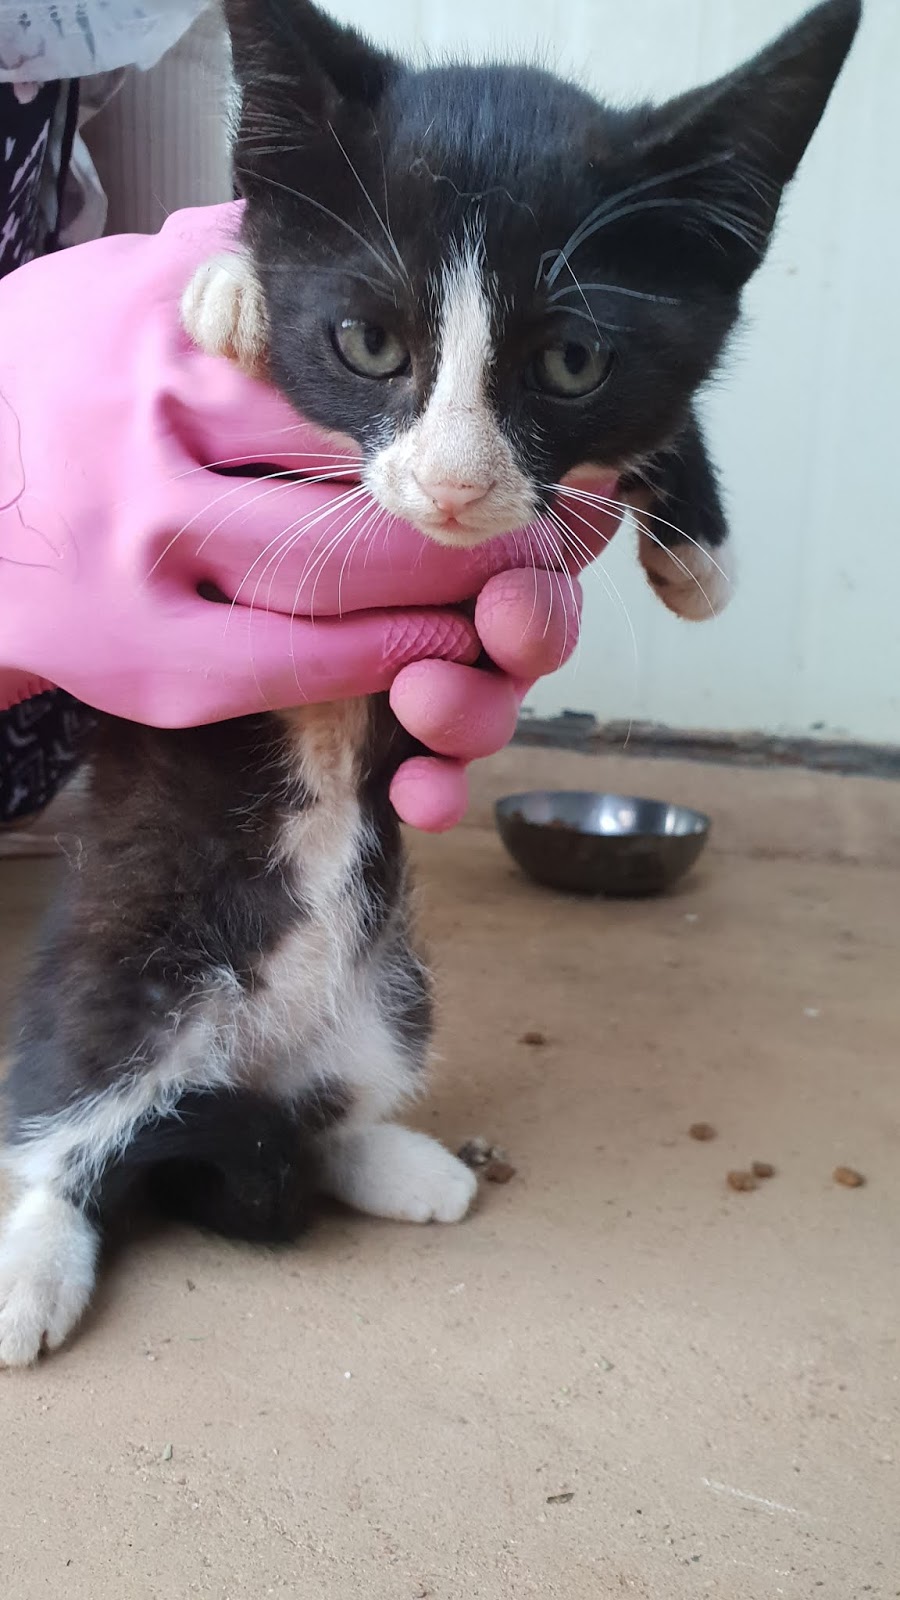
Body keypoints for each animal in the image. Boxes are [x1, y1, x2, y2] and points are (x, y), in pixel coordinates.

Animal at [0, 0, 860, 1365]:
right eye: (368, 342)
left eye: (572, 361)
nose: (454, 484)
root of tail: (242, 1057)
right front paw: (226, 283)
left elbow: (660, 411)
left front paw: (700, 548)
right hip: (116, 985)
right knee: (62, 1131)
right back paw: (34, 1269)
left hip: (392, 994)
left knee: (316, 1117)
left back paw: (400, 1163)